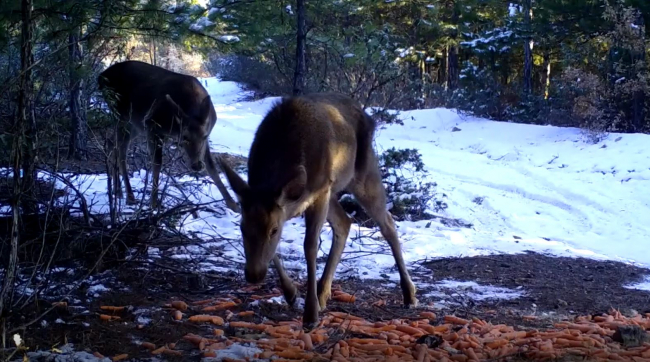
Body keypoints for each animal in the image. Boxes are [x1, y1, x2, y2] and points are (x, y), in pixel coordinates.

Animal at [96, 59, 238, 212]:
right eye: (184, 138)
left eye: (205, 136)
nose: (197, 165)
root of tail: (101, 76)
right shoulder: (152, 125)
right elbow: (157, 163)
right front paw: (153, 203)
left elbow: (212, 166)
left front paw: (233, 204)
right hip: (122, 114)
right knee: (121, 150)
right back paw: (129, 196)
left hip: (135, 123)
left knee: (111, 143)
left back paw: (117, 191)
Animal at [218, 92, 418, 328]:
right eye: (242, 227)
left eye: (273, 230)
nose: (253, 275)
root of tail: (366, 114)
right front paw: (291, 293)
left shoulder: (320, 191)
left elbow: (310, 246)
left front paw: (310, 315)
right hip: (335, 189)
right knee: (345, 222)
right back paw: (323, 292)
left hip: (362, 174)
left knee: (387, 222)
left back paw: (409, 294)